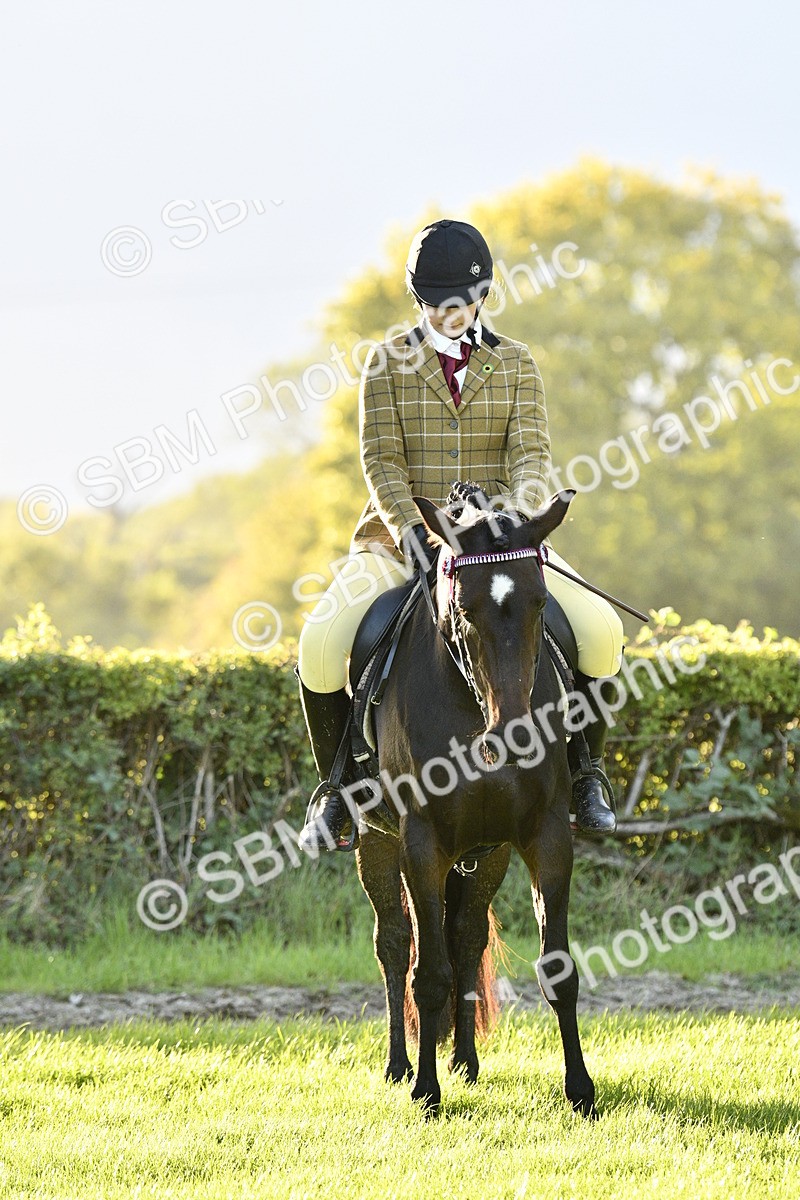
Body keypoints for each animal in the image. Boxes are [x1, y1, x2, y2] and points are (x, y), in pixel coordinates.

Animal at [353, 486, 597, 1117]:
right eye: (464, 610)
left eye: (540, 603)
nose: (514, 736)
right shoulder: (421, 845)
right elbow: (428, 975)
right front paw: (426, 1092)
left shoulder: (545, 837)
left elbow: (557, 967)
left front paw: (581, 1091)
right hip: (374, 839)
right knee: (395, 943)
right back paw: (400, 1066)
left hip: (487, 853)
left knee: (465, 937)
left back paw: (465, 1060)